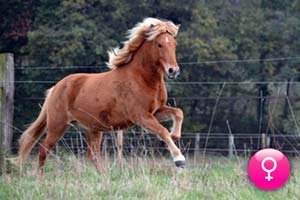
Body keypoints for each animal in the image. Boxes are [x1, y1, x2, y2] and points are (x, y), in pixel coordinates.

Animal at [15, 17, 185, 173]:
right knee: (44, 149)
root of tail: (56, 88)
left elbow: (178, 113)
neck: (142, 78)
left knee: (93, 155)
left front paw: (175, 135)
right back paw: (40, 178)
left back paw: (104, 177)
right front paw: (179, 159)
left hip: (92, 129)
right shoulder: (141, 116)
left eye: (174, 44)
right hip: (58, 126)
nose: (173, 71)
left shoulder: (156, 111)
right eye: (159, 44)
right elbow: (162, 131)